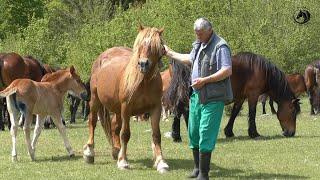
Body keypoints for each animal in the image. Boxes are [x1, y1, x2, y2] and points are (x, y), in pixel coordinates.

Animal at [82, 25, 170, 173]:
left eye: (157, 46)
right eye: (139, 45)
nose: (143, 64)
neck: (144, 82)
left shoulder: (156, 108)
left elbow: (156, 135)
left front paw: (161, 162)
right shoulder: (126, 109)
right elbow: (125, 134)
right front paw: (123, 162)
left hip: (117, 110)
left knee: (114, 127)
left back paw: (116, 151)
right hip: (95, 100)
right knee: (92, 122)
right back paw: (89, 152)